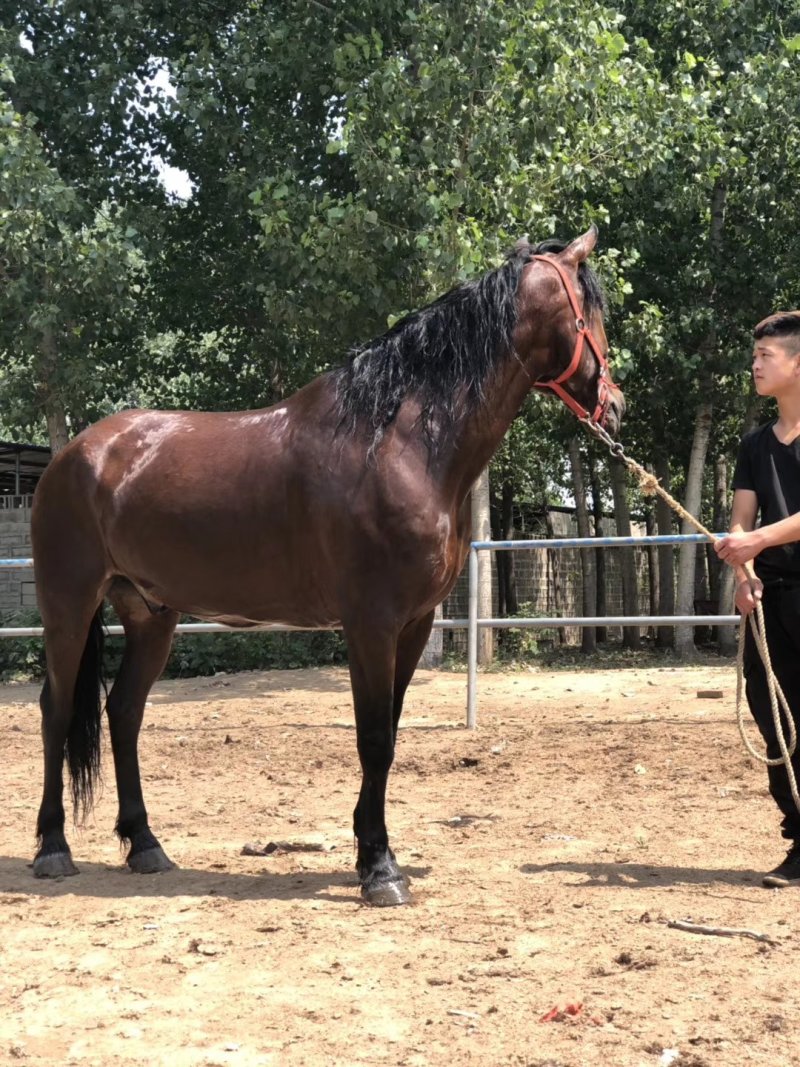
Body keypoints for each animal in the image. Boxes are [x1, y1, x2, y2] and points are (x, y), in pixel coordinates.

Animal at [30, 225, 623, 906]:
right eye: (591, 315)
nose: (614, 405)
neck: (398, 443)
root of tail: (77, 454)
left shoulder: (413, 625)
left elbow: (389, 733)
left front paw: (373, 852)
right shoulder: (370, 624)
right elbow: (374, 739)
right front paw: (380, 870)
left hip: (151, 614)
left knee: (123, 713)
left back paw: (146, 846)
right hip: (69, 606)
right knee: (56, 711)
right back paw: (53, 849)